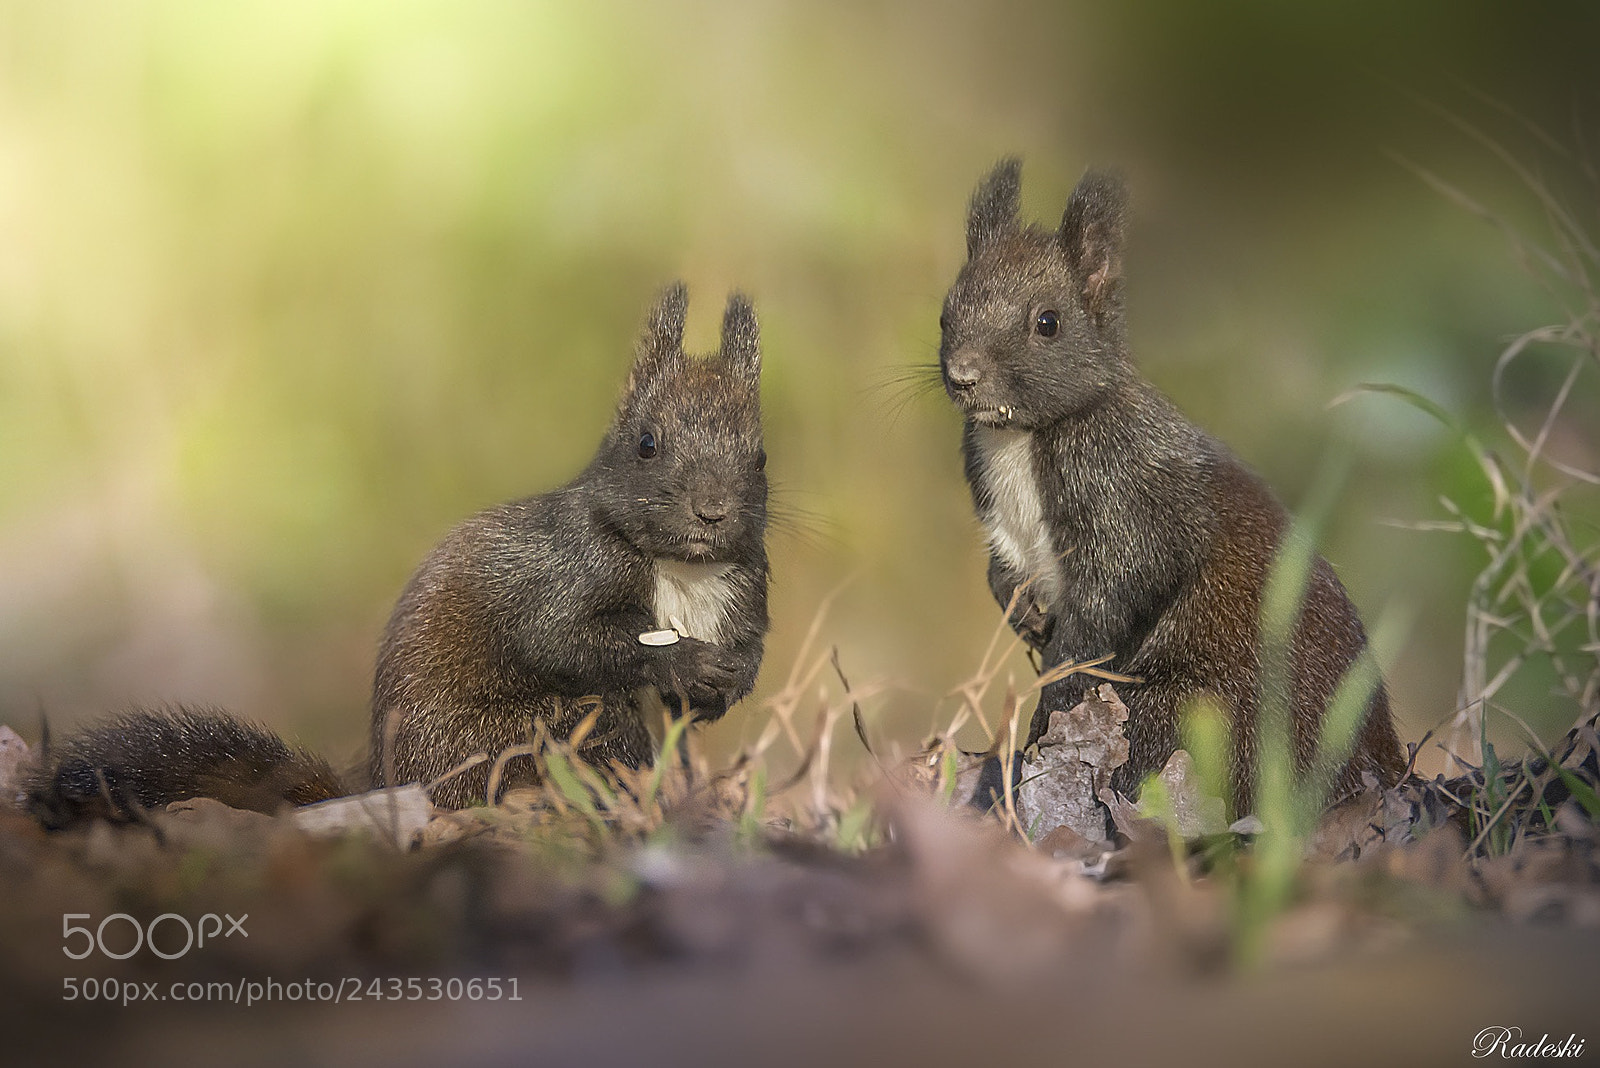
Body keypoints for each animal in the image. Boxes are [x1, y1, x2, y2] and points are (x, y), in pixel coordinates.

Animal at [21, 283, 769, 823]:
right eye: (646, 444)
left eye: (760, 456)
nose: (711, 512)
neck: (683, 569)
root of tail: (390, 785)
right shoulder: (566, 571)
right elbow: (556, 638)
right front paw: (683, 661)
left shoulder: (746, 591)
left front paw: (728, 681)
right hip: (524, 737)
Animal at [938, 158, 1405, 814]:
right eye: (945, 311)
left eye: (1047, 322)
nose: (963, 375)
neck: (1023, 438)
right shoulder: (1001, 519)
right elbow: (1004, 570)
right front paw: (1019, 609)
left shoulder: (1129, 500)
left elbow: (1108, 606)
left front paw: (1052, 699)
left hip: (1182, 711)